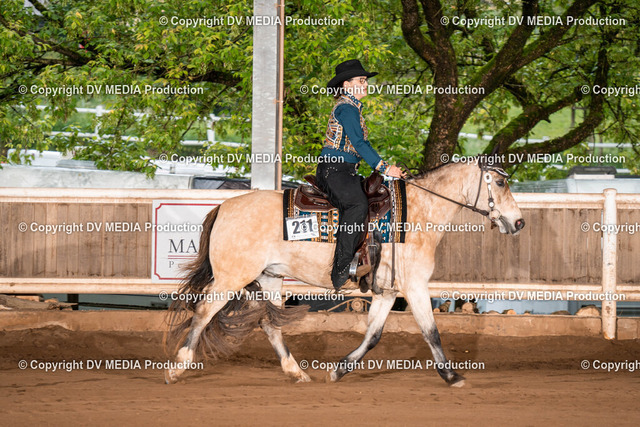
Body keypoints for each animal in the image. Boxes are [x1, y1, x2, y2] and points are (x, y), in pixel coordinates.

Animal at [164, 161, 525, 387]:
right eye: (501, 182)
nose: (519, 221)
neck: (418, 212)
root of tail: (223, 206)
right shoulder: (415, 286)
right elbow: (431, 332)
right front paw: (452, 377)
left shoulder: (388, 291)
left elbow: (373, 336)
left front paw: (339, 371)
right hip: (231, 277)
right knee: (204, 311)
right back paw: (177, 368)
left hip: (269, 278)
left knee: (269, 324)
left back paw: (296, 372)